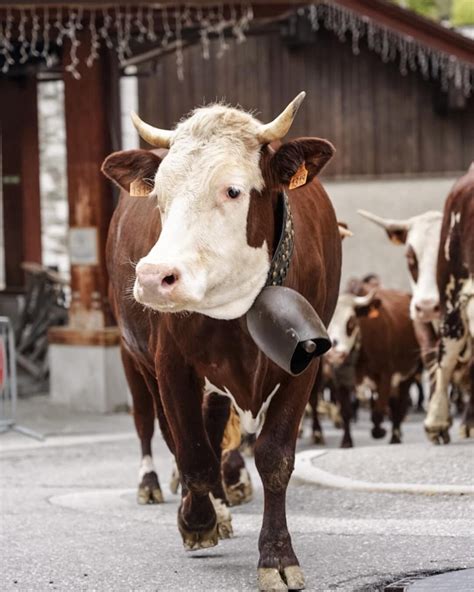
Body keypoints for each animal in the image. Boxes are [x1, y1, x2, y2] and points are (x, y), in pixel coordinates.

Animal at [103, 95, 340, 588]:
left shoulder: (304, 366)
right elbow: (191, 453)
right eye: (159, 195)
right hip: (137, 361)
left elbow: (274, 457)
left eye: (232, 191)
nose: (153, 278)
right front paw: (198, 522)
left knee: (213, 431)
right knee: (154, 428)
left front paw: (276, 555)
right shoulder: (171, 365)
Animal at [328, 290, 420, 446]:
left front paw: (379, 431)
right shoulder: (339, 381)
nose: (335, 353)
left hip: (408, 375)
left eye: (351, 320)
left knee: (399, 407)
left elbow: (378, 412)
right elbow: (346, 412)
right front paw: (346, 442)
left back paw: (395, 437)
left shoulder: (385, 375)